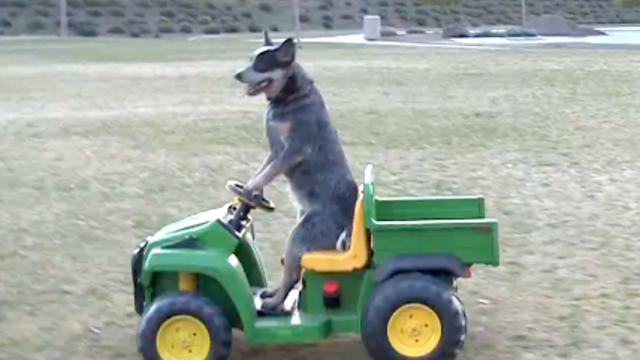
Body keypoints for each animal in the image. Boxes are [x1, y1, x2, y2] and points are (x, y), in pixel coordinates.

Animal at [234, 31, 358, 312]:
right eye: (250, 59)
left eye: (262, 64)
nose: (237, 74)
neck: (288, 98)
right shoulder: (275, 152)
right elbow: (263, 171)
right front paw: (252, 188)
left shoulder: (293, 151)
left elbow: (267, 173)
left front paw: (249, 190)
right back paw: (272, 296)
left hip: (300, 236)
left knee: (292, 275)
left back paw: (273, 303)